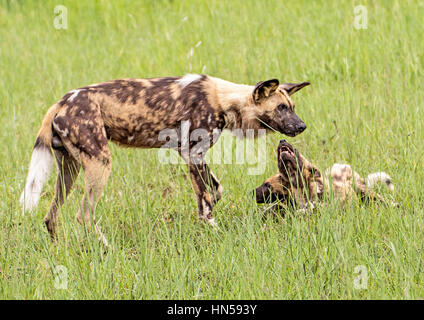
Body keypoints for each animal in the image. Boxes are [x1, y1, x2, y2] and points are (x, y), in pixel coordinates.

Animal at [19, 75, 310, 245]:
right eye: (281, 108)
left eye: (292, 108)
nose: (302, 126)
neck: (223, 100)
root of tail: (61, 102)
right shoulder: (191, 152)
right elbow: (205, 202)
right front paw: (213, 231)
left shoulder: (195, 156)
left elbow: (216, 190)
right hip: (100, 164)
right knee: (84, 215)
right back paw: (107, 248)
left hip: (70, 170)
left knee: (50, 216)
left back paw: (59, 249)